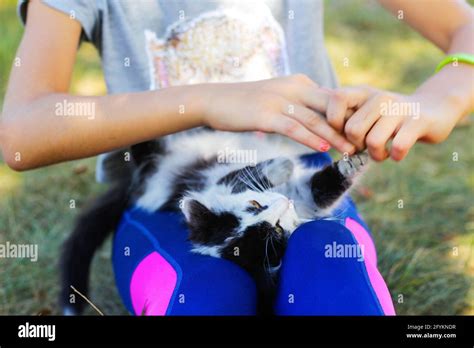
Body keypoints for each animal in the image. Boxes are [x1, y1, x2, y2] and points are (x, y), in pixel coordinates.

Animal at [60, 130, 370, 316]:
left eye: (254, 204)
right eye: (276, 231)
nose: (285, 202)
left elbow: (318, 188)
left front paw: (351, 163)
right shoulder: (214, 183)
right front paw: (284, 165)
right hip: (153, 175)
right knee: (142, 149)